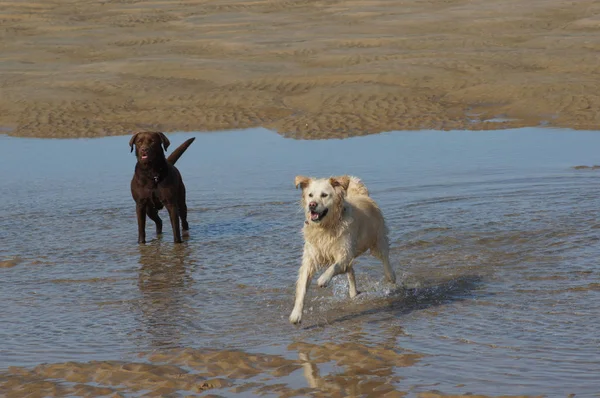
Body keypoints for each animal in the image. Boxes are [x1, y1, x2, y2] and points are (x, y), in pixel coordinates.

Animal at [288, 176, 396, 324]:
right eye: (310, 195)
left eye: (324, 195)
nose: (312, 205)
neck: (325, 227)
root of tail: (363, 195)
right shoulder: (311, 257)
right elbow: (303, 285)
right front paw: (296, 314)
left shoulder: (345, 252)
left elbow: (334, 267)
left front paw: (323, 279)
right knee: (351, 271)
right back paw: (353, 293)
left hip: (378, 239)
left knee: (385, 257)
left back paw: (391, 276)